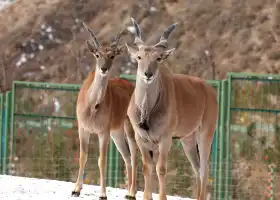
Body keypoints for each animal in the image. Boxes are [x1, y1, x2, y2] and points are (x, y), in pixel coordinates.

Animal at [71, 22, 138, 200]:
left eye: (112, 56)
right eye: (97, 55)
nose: (103, 68)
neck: (93, 106)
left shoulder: (103, 131)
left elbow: (101, 160)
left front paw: (102, 194)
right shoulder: (83, 128)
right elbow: (83, 156)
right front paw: (76, 189)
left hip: (130, 128)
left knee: (135, 153)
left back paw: (132, 192)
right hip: (117, 131)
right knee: (127, 156)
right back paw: (128, 192)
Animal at [125, 17, 219, 200]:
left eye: (159, 58)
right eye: (139, 57)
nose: (148, 74)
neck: (147, 110)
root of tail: (210, 91)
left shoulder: (165, 139)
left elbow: (161, 168)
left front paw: (162, 197)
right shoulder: (142, 139)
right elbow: (147, 167)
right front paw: (147, 196)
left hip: (206, 135)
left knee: (204, 169)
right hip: (187, 140)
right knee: (196, 168)